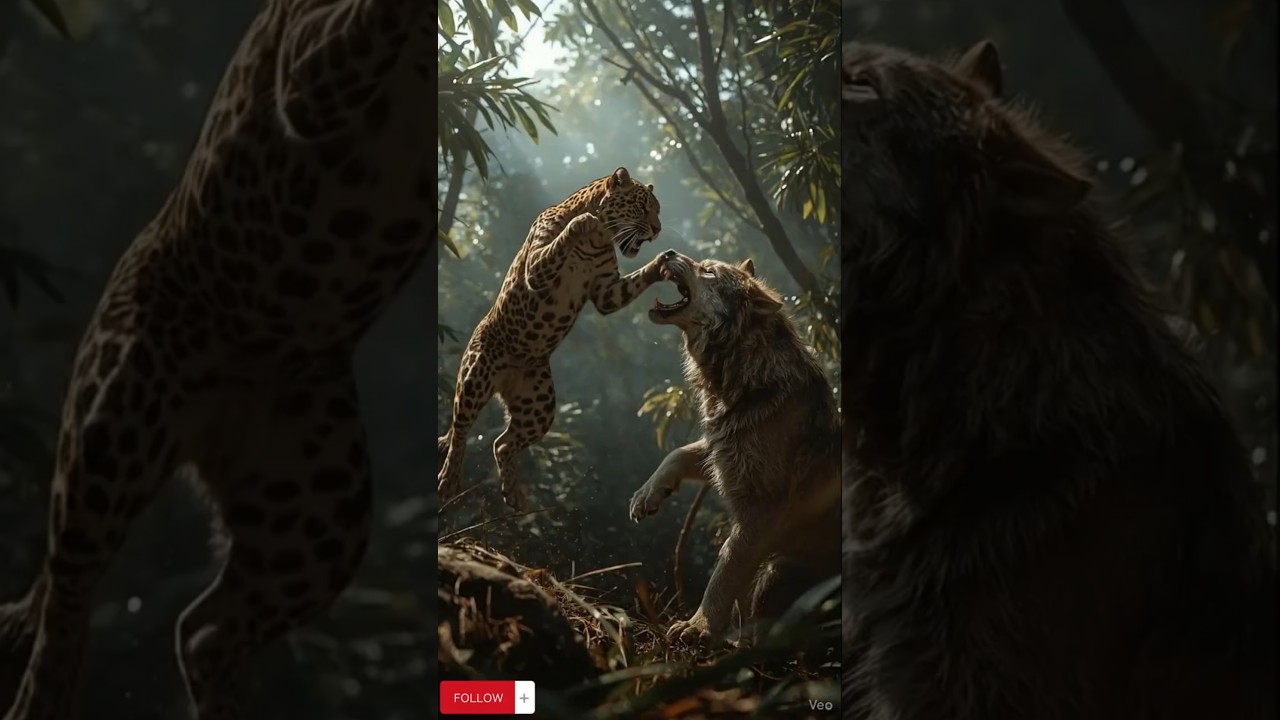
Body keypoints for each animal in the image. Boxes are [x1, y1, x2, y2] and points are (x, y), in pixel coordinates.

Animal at [0, 1, 434, 718]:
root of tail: (210, 433)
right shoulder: (307, 74)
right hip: (113, 428)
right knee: (69, 596)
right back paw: (44, 693)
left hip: (319, 515)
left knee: (203, 629)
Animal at [436, 167, 668, 512]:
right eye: (642, 207)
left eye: (657, 210)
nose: (656, 230)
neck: (601, 238)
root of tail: (504, 382)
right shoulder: (536, 267)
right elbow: (561, 241)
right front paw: (582, 221)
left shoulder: (607, 292)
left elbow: (633, 282)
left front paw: (664, 263)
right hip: (475, 377)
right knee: (460, 429)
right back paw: (450, 480)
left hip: (539, 407)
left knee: (501, 444)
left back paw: (514, 495)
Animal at [628, 250, 841, 642]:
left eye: (708, 271)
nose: (668, 253)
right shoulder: (721, 446)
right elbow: (676, 454)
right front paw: (647, 495)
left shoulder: (760, 509)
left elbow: (725, 570)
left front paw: (699, 626)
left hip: (778, 576)